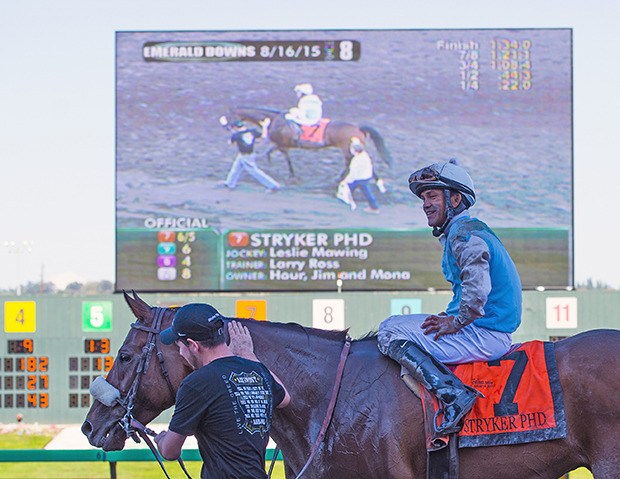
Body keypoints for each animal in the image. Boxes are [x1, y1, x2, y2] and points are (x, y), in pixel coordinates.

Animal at [228, 106, 392, 178]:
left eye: (230, 116)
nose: (229, 127)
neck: (275, 120)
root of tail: (358, 128)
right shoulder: (282, 145)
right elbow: (271, 153)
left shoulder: (282, 146)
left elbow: (281, 157)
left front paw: (289, 173)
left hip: (347, 149)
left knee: (350, 162)